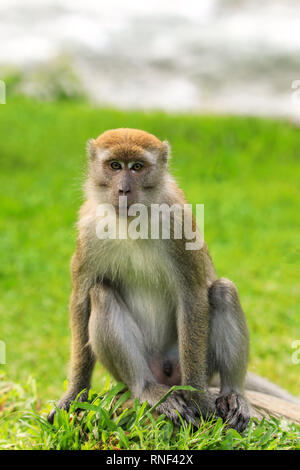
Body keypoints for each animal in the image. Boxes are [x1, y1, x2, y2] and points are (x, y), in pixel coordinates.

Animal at [47, 126, 296, 432]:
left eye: (137, 167)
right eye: (115, 166)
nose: (123, 189)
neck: (131, 221)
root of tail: (165, 376)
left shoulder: (178, 224)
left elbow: (192, 296)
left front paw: (197, 397)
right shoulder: (88, 231)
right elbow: (81, 300)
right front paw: (75, 394)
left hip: (193, 363)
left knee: (223, 291)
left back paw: (233, 394)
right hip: (136, 371)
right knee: (101, 294)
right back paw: (147, 389)